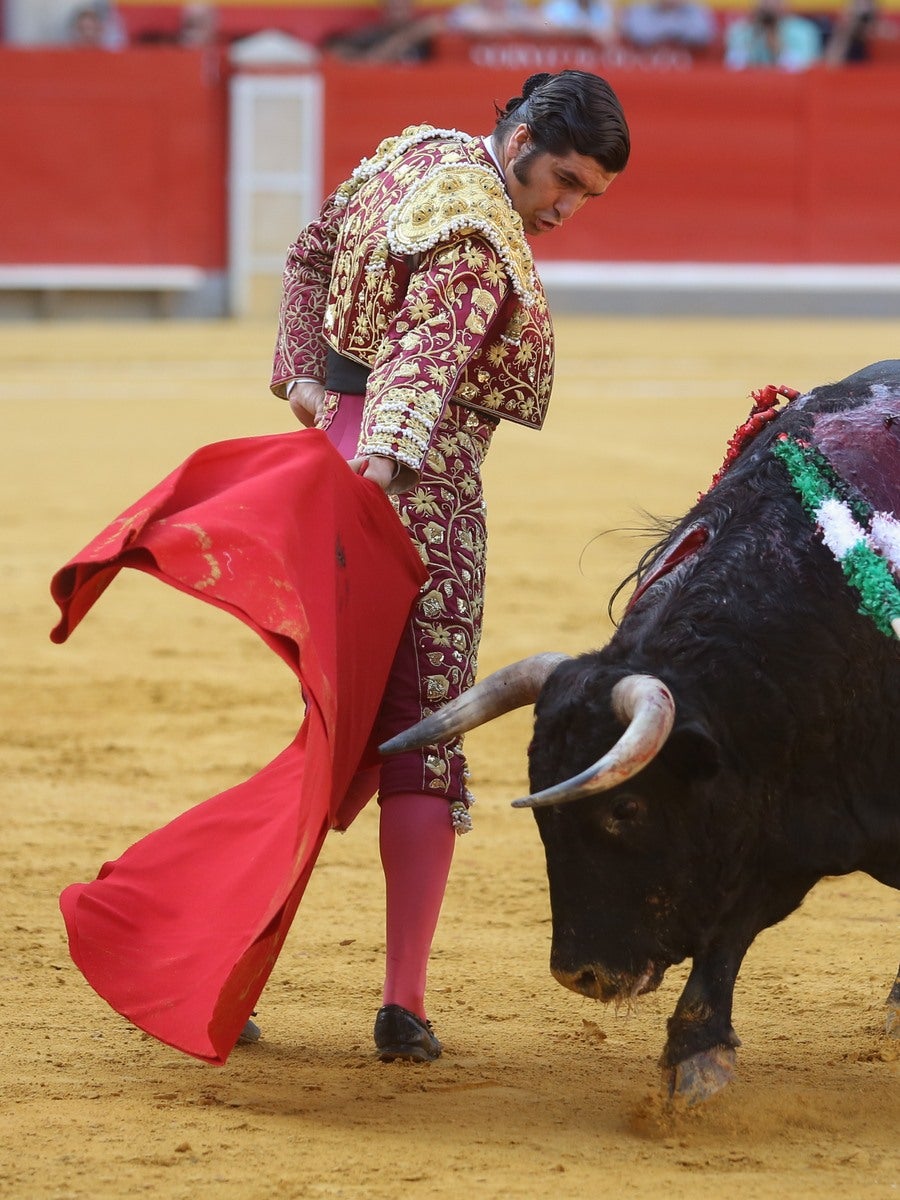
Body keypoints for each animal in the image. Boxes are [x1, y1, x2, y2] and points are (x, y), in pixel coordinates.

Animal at [381, 357, 900, 1104]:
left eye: (625, 808)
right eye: (543, 811)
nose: (581, 975)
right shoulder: (766, 813)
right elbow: (731, 926)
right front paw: (696, 1056)